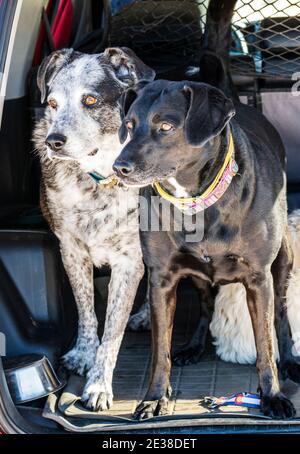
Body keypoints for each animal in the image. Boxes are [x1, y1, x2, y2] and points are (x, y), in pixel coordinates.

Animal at [33, 48, 155, 412]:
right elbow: (86, 311)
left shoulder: (128, 262)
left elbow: (112, 333)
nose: (53, 142)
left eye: (90, 100)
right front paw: (83, 354)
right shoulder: (71, 251)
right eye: (53, 103)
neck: (100, 178)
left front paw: (99, 385)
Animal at [112, 77, 300, 418]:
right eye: (129, 126)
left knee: (280, 315)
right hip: (198, 275)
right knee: (205, 306)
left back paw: (291, 361)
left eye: (166, 126)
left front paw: (272, 395)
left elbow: (265, 345)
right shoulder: (161, 280)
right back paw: (194, 346)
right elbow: (160, 350)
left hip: (282, 262)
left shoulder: (258, 279)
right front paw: (155, 397)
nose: (119, 167)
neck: (195, 200)